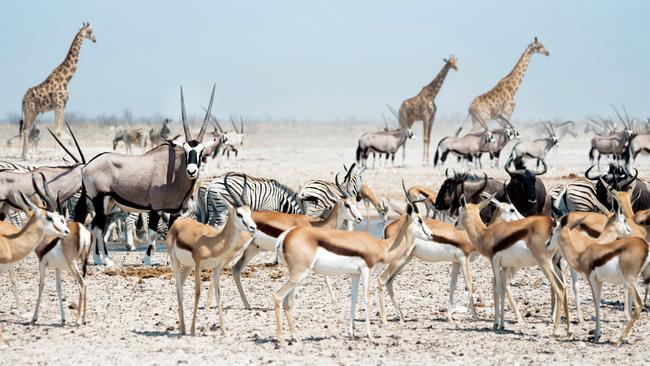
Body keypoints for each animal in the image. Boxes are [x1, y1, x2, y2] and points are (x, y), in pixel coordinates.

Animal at [19, 22, 95, 160]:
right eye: (90, 31)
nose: (95, 39)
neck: (66, 80)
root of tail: (22, 99)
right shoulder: (58, 105)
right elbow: (57, 131)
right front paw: (56, 156)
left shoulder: (63, 106)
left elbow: (59, 130)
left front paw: (59, 155)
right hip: (29, 110)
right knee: (26, 129)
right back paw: (27, 156)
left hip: (35, 111)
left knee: (25, 128)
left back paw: (24, 156)